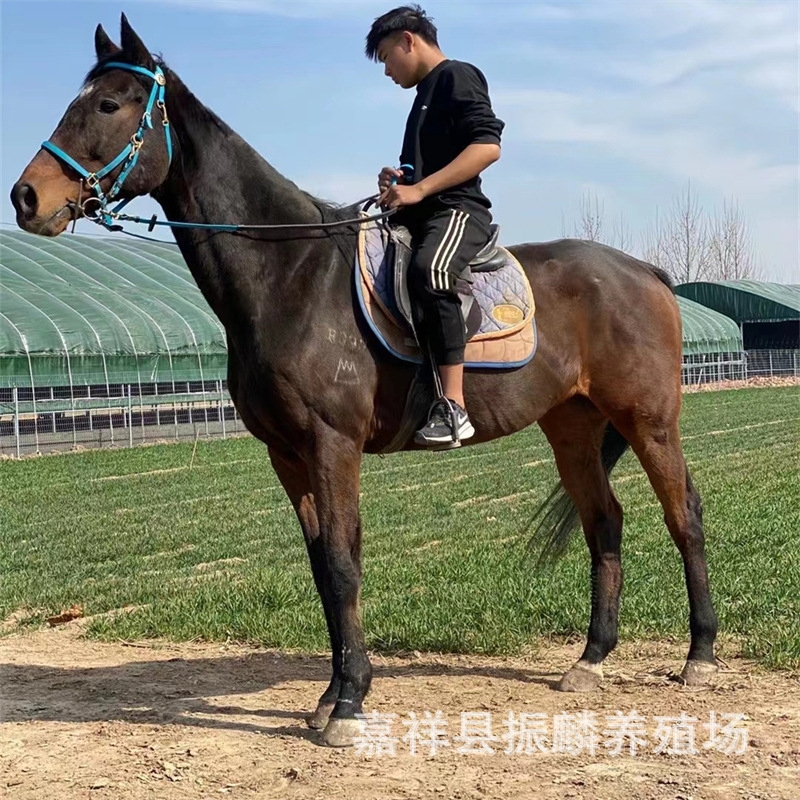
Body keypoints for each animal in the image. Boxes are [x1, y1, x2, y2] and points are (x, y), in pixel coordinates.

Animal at [11, 15, 719, 747]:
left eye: (108, 104)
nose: (26, 196)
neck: (291, 275)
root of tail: (646, 274)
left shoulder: (333, 444)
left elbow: (345, 565)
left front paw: (349, 704)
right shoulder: (287, 454)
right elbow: (324, 568)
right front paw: (331, 695)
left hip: (649, 421)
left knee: (684, 516)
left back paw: (699, 655)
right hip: (573, 426)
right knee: (604, 523)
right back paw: (592, 658)